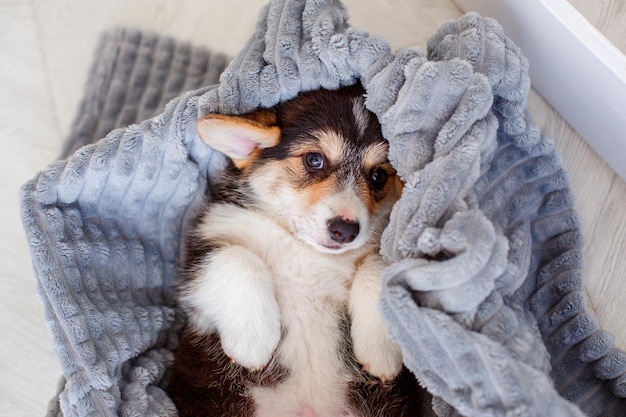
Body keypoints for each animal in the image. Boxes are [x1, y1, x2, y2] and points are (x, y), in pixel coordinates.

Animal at [167, 84, 428, 416]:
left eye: (378, 176)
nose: (345, 230)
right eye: (314, 160)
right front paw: (253, 339)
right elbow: (236, 257)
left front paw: (380, 350)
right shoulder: (200, 251)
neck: (305, 249)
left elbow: (378, 265)